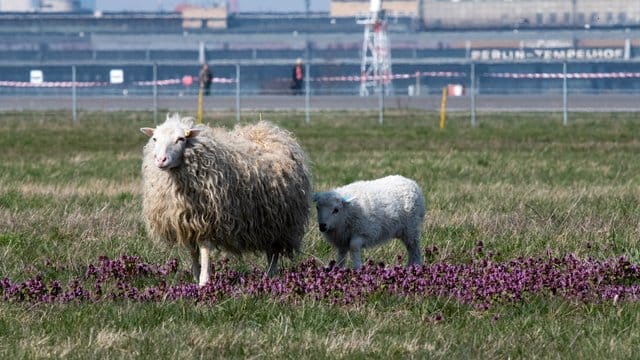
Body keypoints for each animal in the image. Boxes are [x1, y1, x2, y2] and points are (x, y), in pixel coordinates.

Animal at [140, 114, 312, 286]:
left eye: (181, 139)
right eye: (155, 139)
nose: (161, 160)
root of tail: (267, 131)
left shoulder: (208, 220)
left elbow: (204, 251)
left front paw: (203, 282)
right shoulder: (188, 222)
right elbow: (193, 252)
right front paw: (195, 276)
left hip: (281, 222)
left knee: (273, 252)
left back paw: (269, 276)